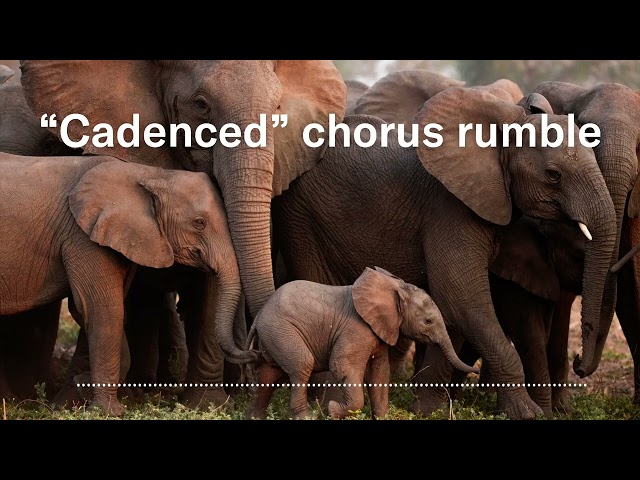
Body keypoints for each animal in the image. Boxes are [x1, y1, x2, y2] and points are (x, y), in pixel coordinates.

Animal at [0, 152, 242, 416]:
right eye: (199, 223)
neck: (150, 173)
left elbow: (93, 311)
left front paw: (84, 390)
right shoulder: (83, 237)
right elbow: (104, 310)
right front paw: (109, 412)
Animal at [243, 266, 478, 420]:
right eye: (428, 321)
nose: (475, 370)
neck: (394, 287)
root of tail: (259, 315)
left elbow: (380, 372)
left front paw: (382, 417)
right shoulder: (357, 329)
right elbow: (343, 365)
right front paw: (332, 410)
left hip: (274, 335)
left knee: (270, 373)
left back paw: (253, 417)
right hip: (281, 330)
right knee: (301, 364)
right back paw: (307, 417)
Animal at [270, 87, 617, 420]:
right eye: (553, 175)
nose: (578, 361)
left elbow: (449, 309)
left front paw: (426, 410)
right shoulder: (450, 209)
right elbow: (462, 299)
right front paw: (526, 414)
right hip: (301, 217)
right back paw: (321, 401)